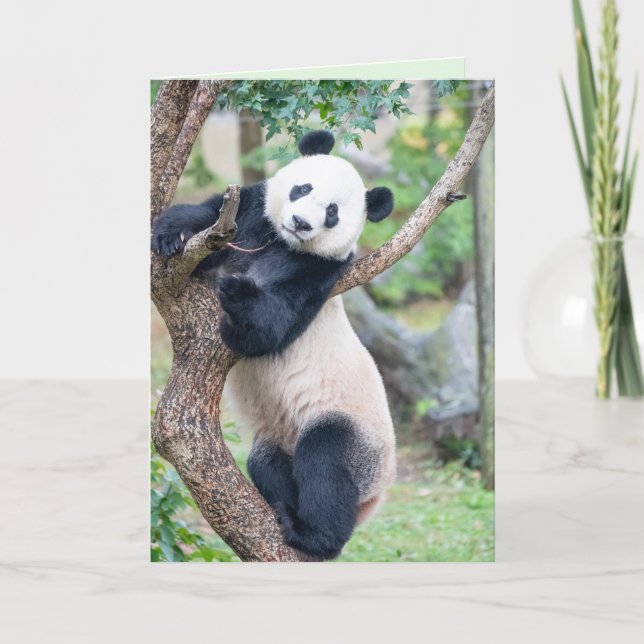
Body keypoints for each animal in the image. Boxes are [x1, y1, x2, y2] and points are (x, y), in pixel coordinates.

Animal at [152, 130, 396, 560]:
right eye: (303, 188)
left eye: (332, 212)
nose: (300, 222)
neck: (284, 244)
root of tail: (375, 497)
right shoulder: (251, 215)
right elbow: (207, 217)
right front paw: (171, 234)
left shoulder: (321, 273)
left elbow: (270, 327)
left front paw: (237, 293)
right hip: (278, 439)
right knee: (266, 463)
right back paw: (283, 506)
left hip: (358, 436)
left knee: (327, 461)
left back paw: (312, 536)